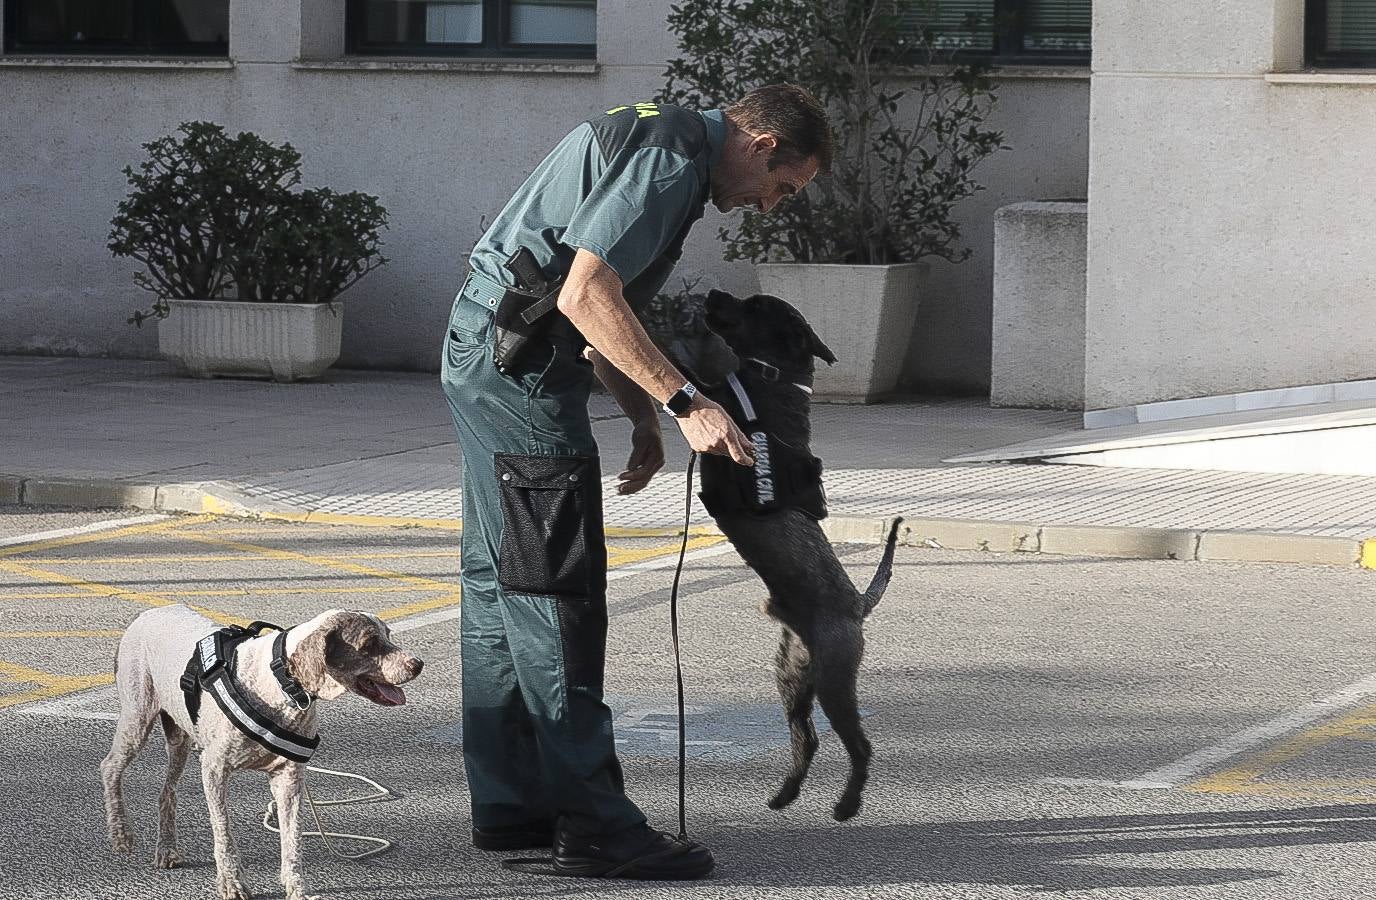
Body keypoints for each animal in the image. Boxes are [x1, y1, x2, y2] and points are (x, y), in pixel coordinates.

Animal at [101, 605, 421, 900]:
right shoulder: (214, 769)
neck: (281, 683)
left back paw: (166, 848)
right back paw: (121, 834)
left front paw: (297, 888)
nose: (418, 664)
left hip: (179, 738)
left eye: (388, 636)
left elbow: (292, 839)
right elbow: (224, 833)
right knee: (110, 766)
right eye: (368, 644)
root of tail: (147, 613)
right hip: (138, 716)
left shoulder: (289, 777)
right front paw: (232, 883)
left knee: (167, 792)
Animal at [693, 290, 897, 825]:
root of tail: (858, 607)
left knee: (858, 745)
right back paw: (784, 794)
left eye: (754, 306)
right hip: (791, 678)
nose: (711, 294)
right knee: (806, 739)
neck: (771, 379)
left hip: (833, 680)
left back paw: (847, 804)